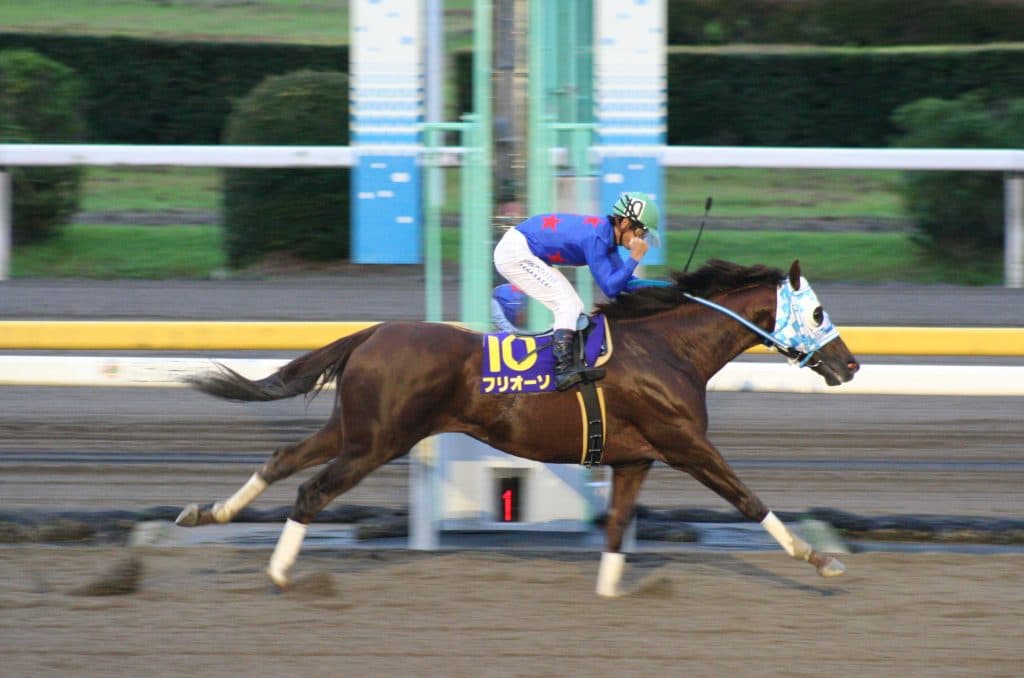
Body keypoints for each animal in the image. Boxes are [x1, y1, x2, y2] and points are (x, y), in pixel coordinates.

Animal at [175, 259, 859, 597]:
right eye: (818, 311)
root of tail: (371, 334)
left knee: (283, 457)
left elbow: (616, 525)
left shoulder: (635, 458)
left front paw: (611, 591)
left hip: (356, 429)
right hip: (379, 441)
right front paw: (819, 559)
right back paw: (279, 572)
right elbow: (746, 498)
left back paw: (207, 512)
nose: (850, 364)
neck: (670, 349)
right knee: (311, 489)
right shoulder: (684, 443)